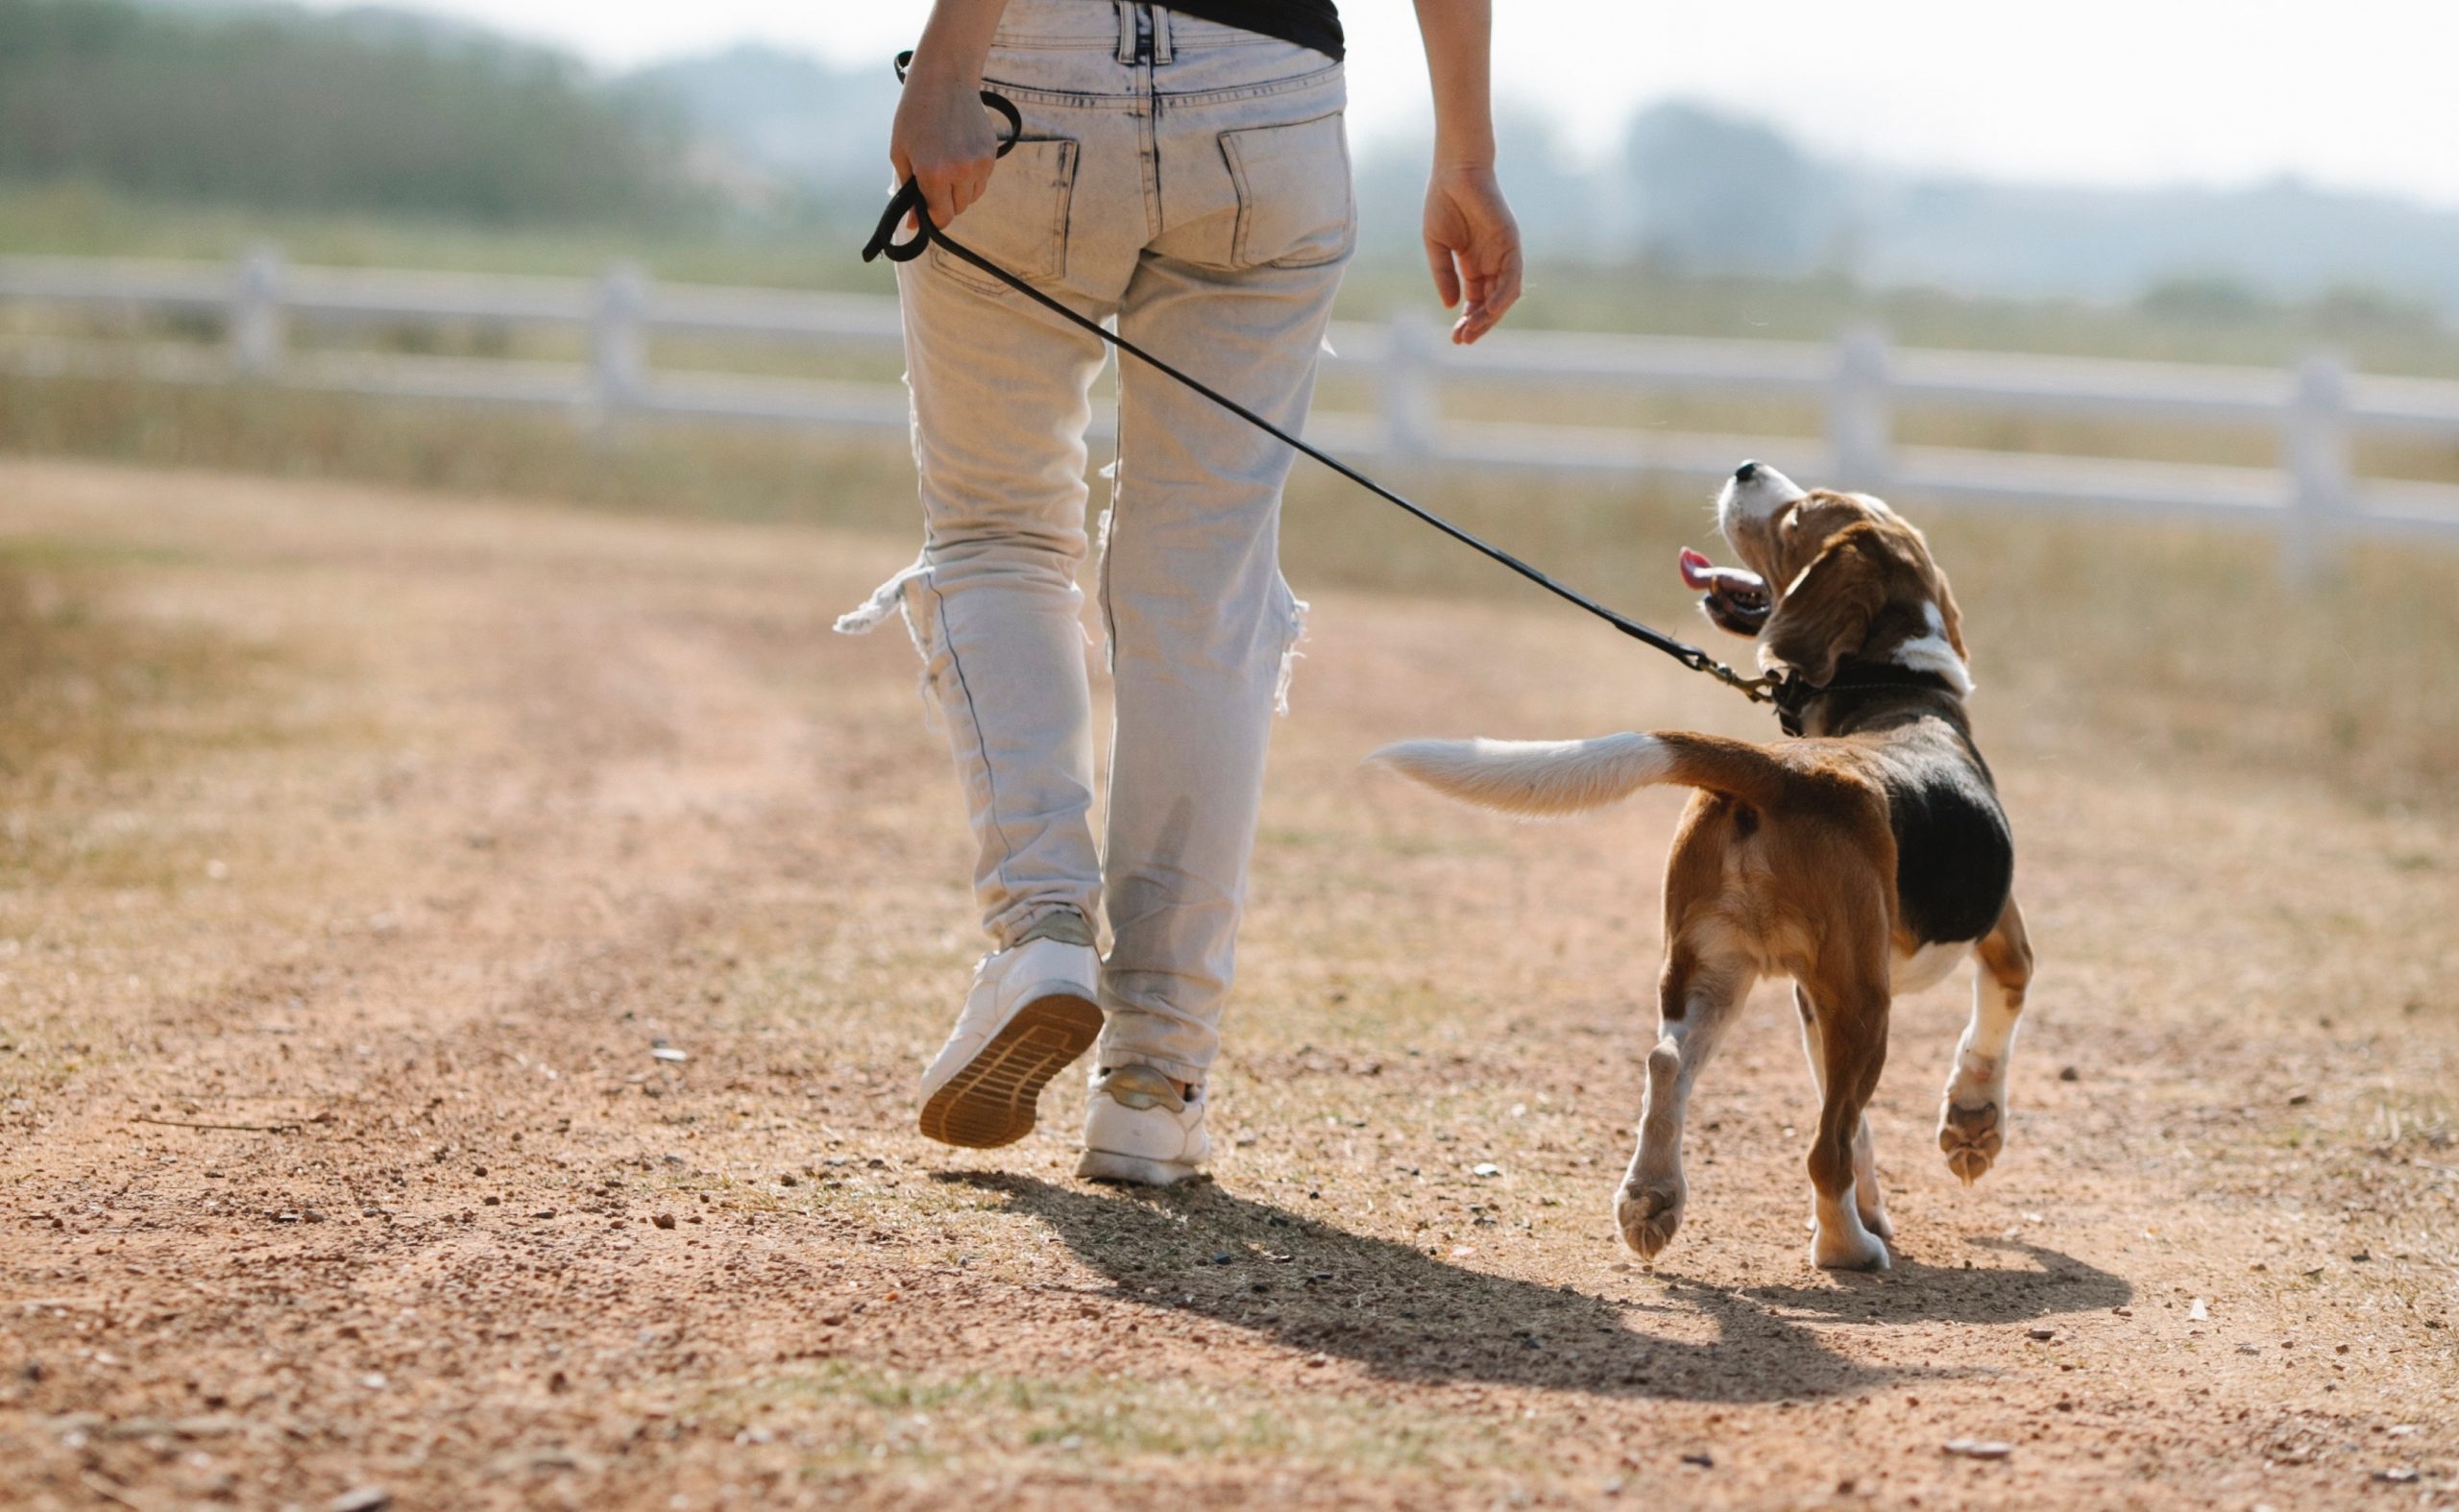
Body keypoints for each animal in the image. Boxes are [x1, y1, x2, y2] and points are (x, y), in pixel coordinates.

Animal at [1376, 464, 2026, 1278]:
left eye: (1801, 516)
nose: (1747, 468)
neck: (1894, 685)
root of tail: (1785, 774)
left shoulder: (1811, 1001)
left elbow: (1856, 1119)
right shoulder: (2001, 935)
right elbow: (1999, 1011)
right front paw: (1973, 1125)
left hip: (1714, 970)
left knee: (1669, 1064)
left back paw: (1651, 1199)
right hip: (1862, 1005)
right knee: (1823, 1148)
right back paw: (1845, 1246)